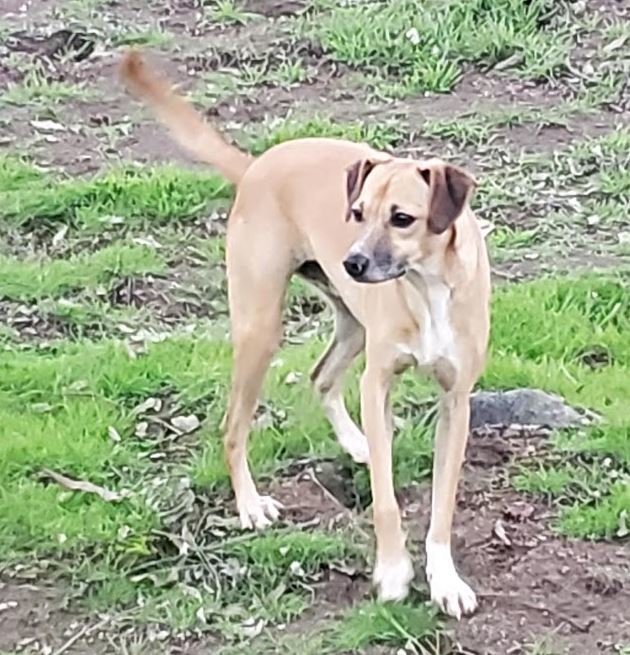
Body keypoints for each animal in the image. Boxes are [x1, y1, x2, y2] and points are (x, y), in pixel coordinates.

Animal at [119, 51, 494, 620]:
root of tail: (256, 166)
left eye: (402, 218)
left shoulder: (457, 400)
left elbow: (442, 507)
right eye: (357, 213)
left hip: (351, 325)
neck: (427, 287)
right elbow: (385, 501)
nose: (354, 260)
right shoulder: (378, 382)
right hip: (260, 330)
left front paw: (445, 580)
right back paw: (251, 506)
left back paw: (358, 442)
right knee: (232, 429)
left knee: (321, 377)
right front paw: (392, 571)